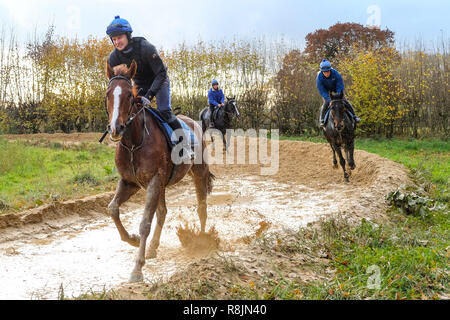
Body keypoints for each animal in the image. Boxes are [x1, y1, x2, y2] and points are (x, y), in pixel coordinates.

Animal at [104, 60, 214, 282]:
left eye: (129, 95)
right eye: (108, 94)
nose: (116, 128)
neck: (134, 143)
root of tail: (194, 122)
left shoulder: (153, 181)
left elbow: (145, 222)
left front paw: (137, 268)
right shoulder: (130, 182)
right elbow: (112, 208)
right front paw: (132, 240)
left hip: (199, 173)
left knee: (202, 207)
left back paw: (201, 240)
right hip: (162, 183)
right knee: (163, 212)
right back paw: (153, 247)